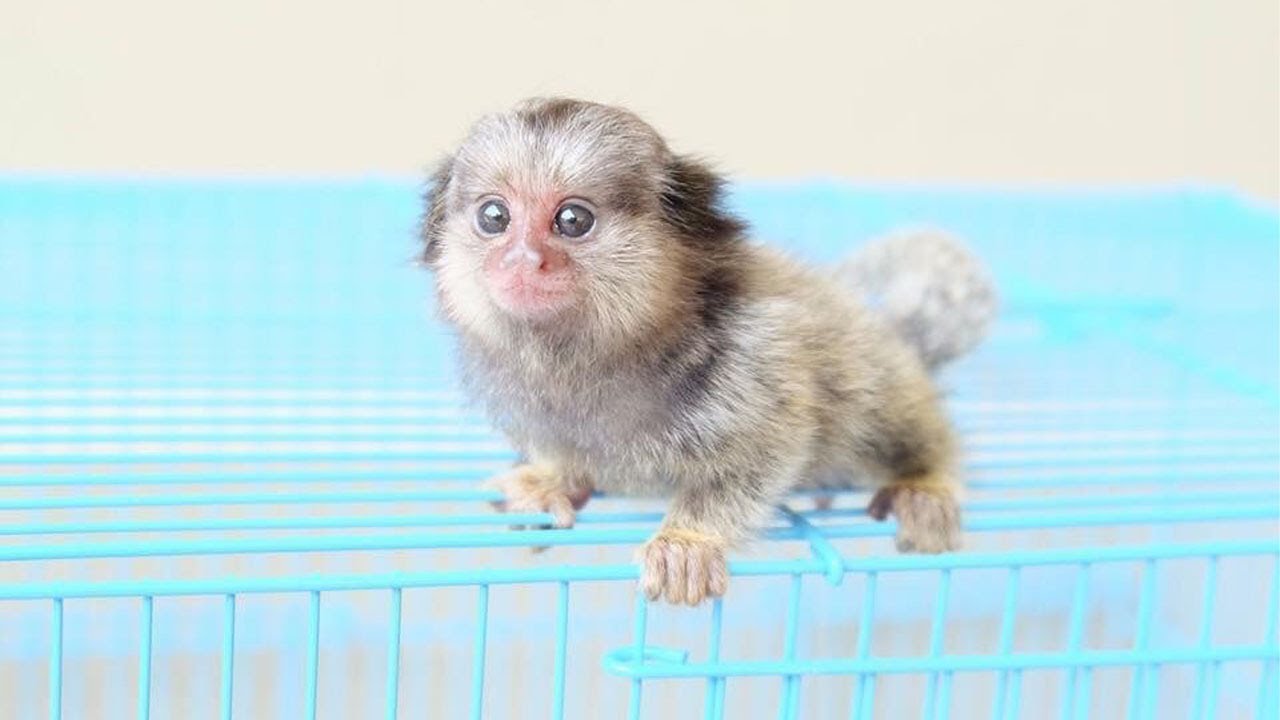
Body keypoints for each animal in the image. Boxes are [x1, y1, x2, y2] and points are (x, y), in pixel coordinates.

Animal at [420, 98, 997, 606]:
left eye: (572, 221)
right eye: (494, 216)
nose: (522, 259)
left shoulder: (756, 356)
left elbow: (764, 452)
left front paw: (688, 542)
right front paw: (549, 481)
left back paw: (924, 482)